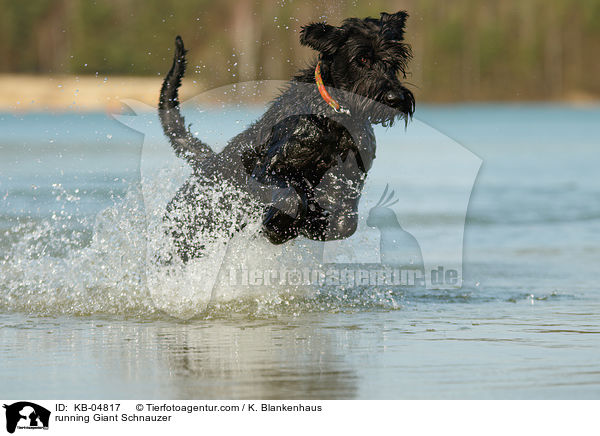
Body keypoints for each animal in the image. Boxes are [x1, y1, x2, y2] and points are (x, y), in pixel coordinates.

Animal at [157, 10, 414, 262]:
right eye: (362, 59)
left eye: (395, 61)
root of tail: (206, 162)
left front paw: (311, 223)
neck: (334, 121)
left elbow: (345, 223)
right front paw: (279, 226)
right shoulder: (266, 168)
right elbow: (292, 196)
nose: (395, 98)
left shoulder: (350, 180)